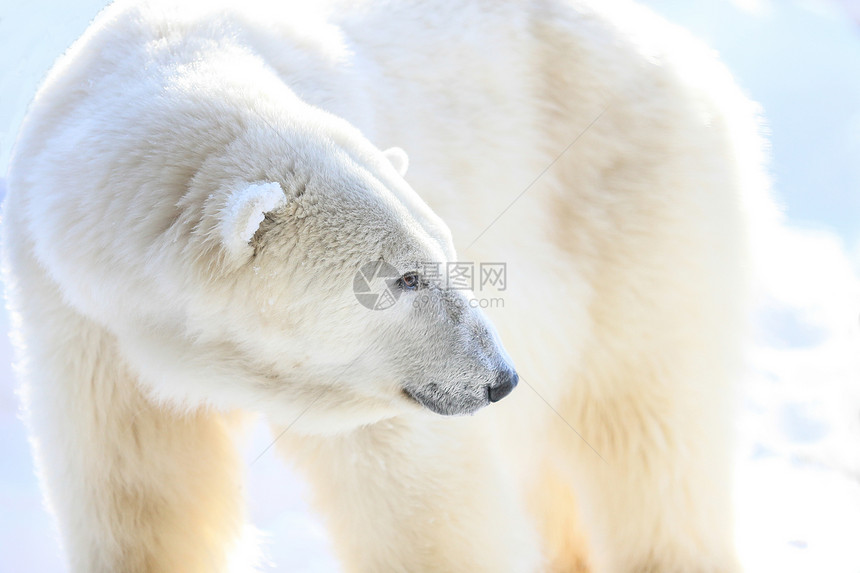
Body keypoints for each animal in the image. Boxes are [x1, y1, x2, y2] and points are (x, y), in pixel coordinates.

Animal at [1, 0, 764, 568]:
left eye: (445, 252)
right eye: (404, 276)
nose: (499, 378)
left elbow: (424, 506)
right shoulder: (80, 323)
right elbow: (137, 495)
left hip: (632, 209)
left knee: (651, 432)